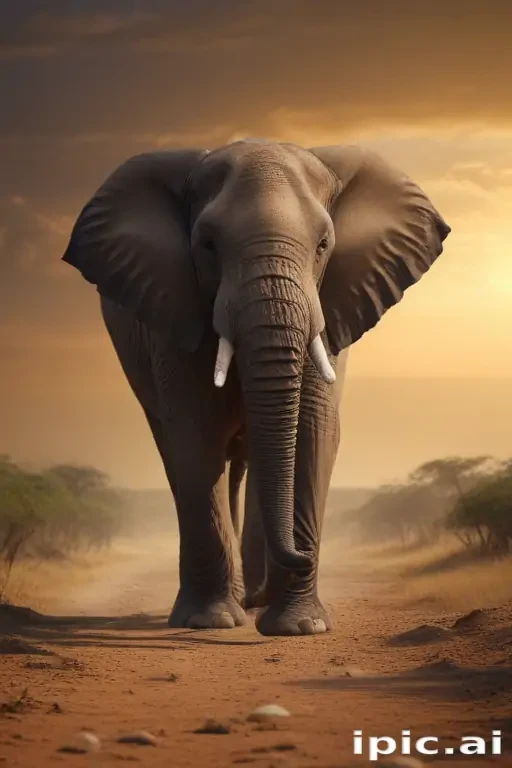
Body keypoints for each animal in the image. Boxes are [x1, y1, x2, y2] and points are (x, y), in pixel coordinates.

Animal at [61, 139, 450, 636]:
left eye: (324, 245)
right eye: (208, 245)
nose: (299, 554)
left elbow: (313, 432)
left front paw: (301, 627)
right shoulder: (174, 310)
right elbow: (195, 432)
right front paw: (209, 622)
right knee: (182, 453)